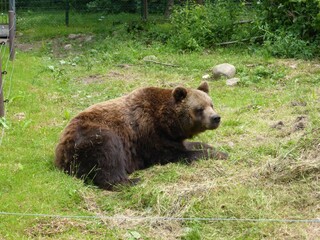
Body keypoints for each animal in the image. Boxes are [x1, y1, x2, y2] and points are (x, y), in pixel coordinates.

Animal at [54, 81, 225, 190]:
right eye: (199, 109)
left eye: (211, 104)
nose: (216, 118)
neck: (166, 122)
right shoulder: (148, 135)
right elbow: (173, 154)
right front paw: (218, 154)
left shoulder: (171, 137)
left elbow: (188, 145)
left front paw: (216, 149)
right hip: (94, 136)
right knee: (108, 159)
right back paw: (133, 181)